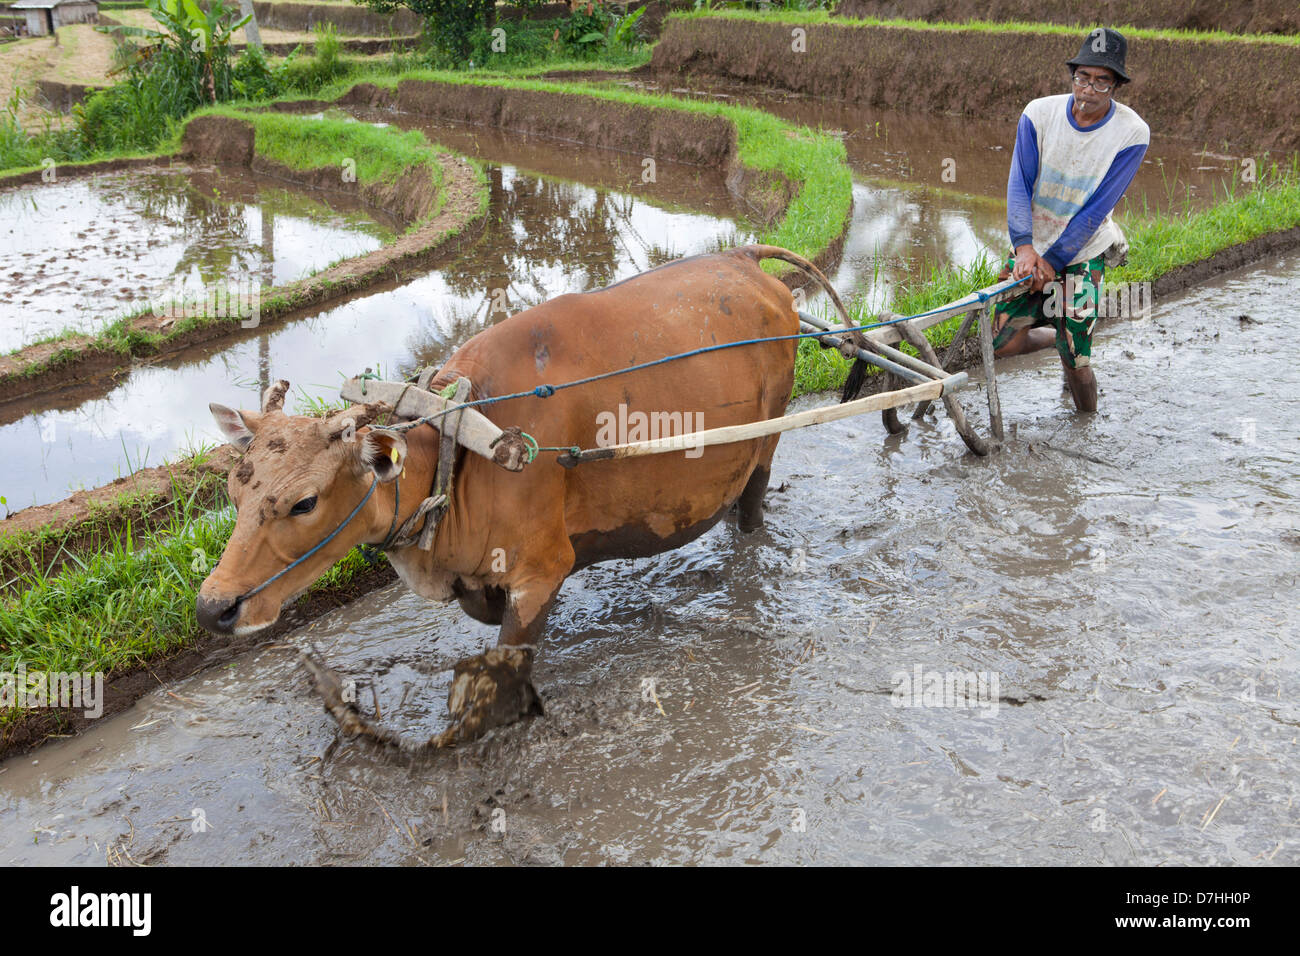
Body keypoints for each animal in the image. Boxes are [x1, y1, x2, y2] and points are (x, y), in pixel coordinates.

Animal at [197, 244, 847, 749]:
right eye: (234, 490)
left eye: (304, 503)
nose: (212, 608)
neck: (460, 451)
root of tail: (745, 260)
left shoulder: (542, 569)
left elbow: (501, 666)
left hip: (767, 437)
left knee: (753, 504)